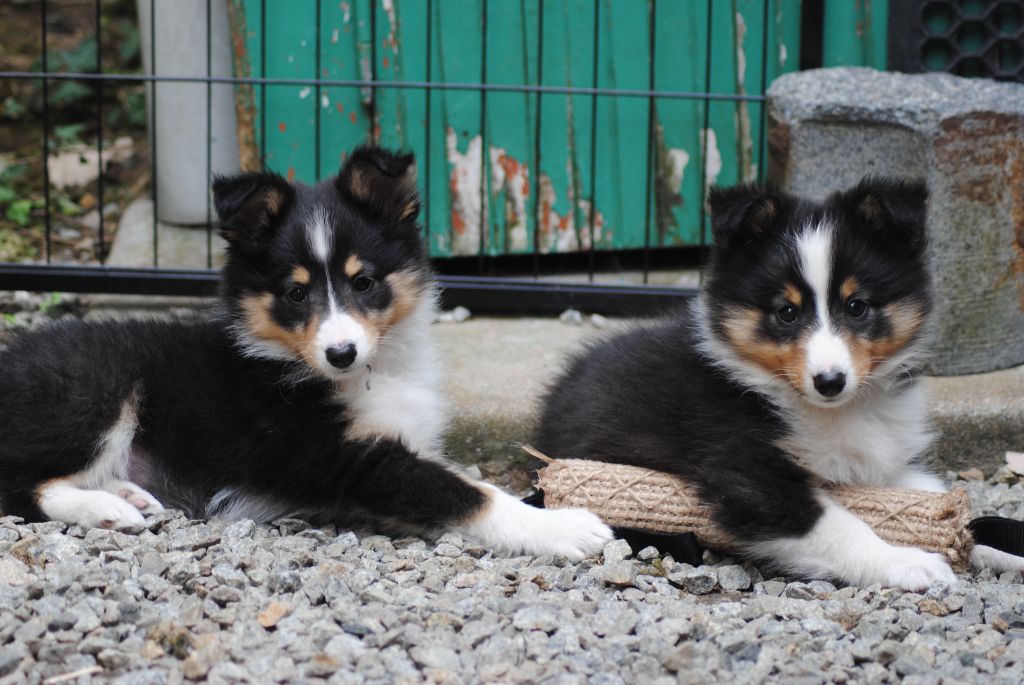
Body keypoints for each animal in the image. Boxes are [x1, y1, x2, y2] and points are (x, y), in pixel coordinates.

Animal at [0, 145, 606, 561]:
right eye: (295, 294)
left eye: (363, 283)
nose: (341, 352)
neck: (368, 372)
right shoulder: (344, 456)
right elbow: (468, 492)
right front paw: (568, 527)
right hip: (93, 390)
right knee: (24, 485)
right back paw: (107, 509)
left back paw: (131, 494)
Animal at [536, 176, 1015, 589]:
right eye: (786, 312)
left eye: (857, 306)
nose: (829, 381)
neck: (832, 411)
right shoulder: (746, 474)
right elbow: (837, 525)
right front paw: (904, 561)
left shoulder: (883, 466)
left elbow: (949, 506)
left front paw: (994, 547)